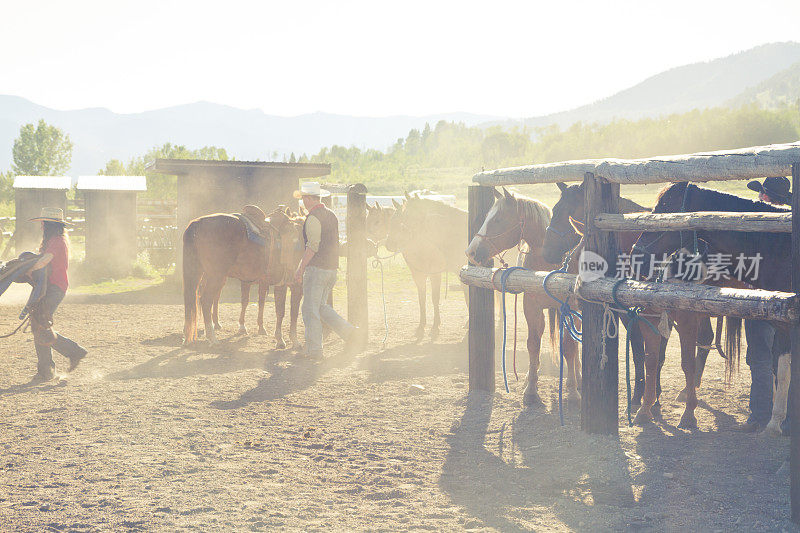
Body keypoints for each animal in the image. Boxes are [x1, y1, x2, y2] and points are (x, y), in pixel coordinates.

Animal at [183, 212, 274, 344]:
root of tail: (197, 223)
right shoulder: (264, 280)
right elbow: (261, 302)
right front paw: (261, 328)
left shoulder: (246, 280)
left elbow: (245, 301)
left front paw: (243, 327)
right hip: (216, 276)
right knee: (206, 299)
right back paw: (211, 336)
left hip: (199, 273)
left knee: (194, 299)